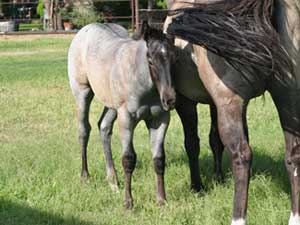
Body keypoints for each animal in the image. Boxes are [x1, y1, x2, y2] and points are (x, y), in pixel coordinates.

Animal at [68, 22, 176, 208]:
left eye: (174, 58)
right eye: (150, 60)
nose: (169, 100)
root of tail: (86, 28)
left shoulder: (160, 120)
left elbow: (159, 159)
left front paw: (162, 200)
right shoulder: (126, 119)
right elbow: (128, 159)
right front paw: (128, 203)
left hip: (111, 104)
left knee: (104, 127)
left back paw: (113, 181)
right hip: (83, 93)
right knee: (84, 130)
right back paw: (85, 176)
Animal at [165, 0, 298, 224]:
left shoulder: (187, 101)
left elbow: (192, 144)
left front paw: (197, 187)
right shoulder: (224, 105)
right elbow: (215, 141)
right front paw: (218, 178)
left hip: (229, 102)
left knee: (241, 155)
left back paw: (237, 218)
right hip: (287, 96)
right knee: (293, 155)